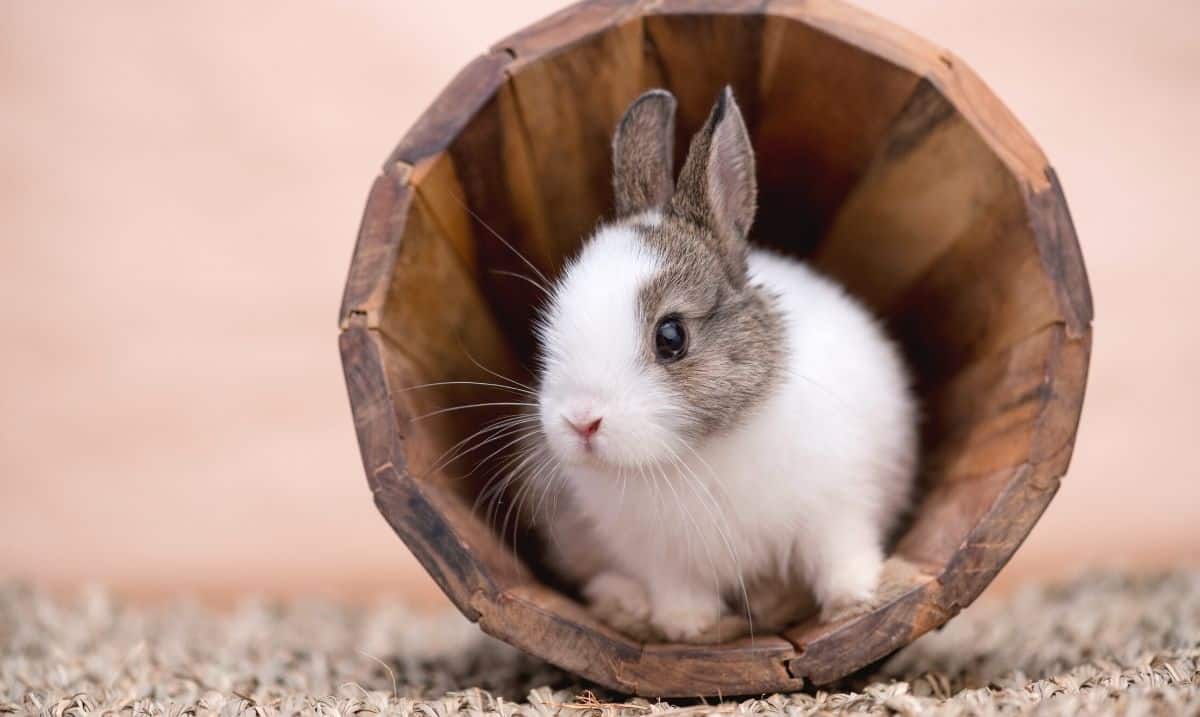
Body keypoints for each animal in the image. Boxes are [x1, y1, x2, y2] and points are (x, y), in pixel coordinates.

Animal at [529, 87, 918, 643]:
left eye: (671, 337)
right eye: (552, 322)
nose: (582, 420)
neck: (693, 454)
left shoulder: (838, 507)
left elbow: (839, 553)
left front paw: (854, 599)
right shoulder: (661, 559)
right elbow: (680, 593)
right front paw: (687, 627)